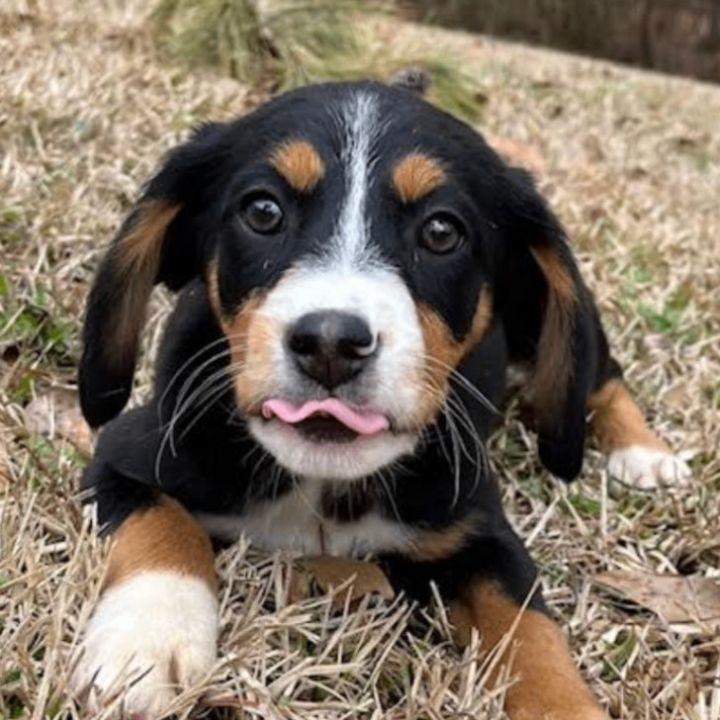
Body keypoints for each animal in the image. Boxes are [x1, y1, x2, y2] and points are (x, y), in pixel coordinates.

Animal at [71, 81, 688, 716]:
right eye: (263, 211)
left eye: (442, 232)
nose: (330, 345)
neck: (323, 485)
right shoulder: (120, 456)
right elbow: (162, 521)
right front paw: (149, 642)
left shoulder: (480, 532)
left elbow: (532, 631)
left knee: (604, 376)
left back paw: (644, 453)